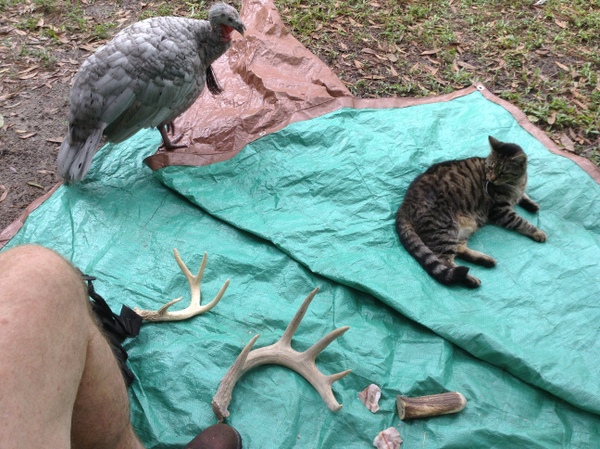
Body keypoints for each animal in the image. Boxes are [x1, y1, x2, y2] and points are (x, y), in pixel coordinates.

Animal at [396, 136, 548, 288]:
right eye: (490, 167)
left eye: (503, 172)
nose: (491, 179)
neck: (517, 181)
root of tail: (404, 204)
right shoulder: (500, 210)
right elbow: (521, 222)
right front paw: (537, 232)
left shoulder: (516, 192)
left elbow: (523, 196)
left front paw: (532, 204)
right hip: (444, 229)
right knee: (445, 262)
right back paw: (469, 278)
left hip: (463, 227)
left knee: (459, 249)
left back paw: (486, 260)